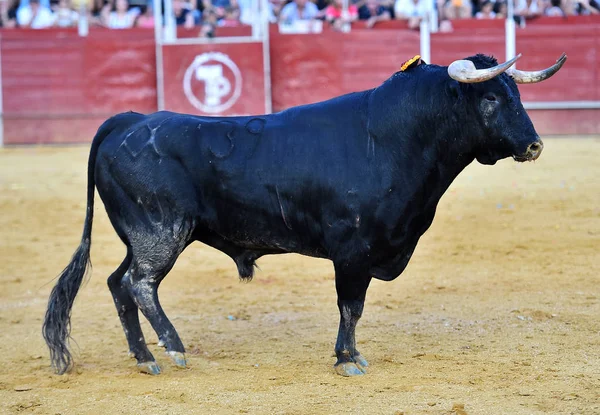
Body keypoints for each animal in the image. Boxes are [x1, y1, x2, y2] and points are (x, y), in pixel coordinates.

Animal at [44, 52, 564, 376]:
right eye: (491, 99)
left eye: (517, 97)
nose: (535, 146)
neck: (394, 137)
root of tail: (130, 120)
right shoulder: (353, 252)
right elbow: (350, 306)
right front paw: (347, 359)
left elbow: (354, 308)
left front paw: (350, 355)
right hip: (161, 233)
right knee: (140, 284)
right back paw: (173, 348)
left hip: (141, 235)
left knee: (117, 283)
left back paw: (143, 357)